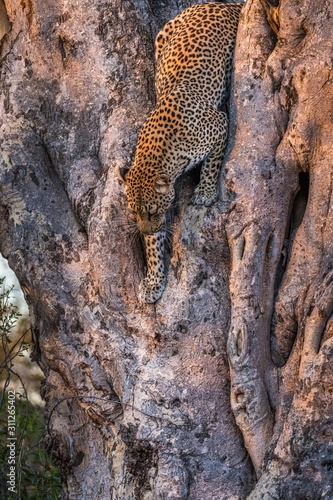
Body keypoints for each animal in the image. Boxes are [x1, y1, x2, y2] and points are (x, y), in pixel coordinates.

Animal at [118, 1, 241, 302]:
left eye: (152, 211)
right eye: (135, 211)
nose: (146, 228)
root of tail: (221, 4)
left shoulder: (219, 124)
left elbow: (212, 164)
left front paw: (205, 192)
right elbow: (154, 247)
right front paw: (153, 281)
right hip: (163, 35)